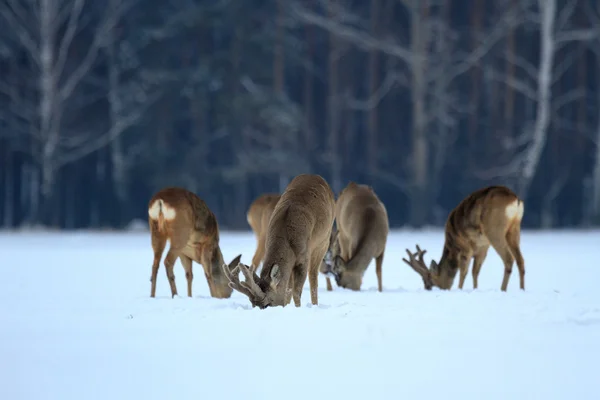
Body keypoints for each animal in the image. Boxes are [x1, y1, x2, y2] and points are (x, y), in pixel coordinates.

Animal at [221, 173, 336, 308]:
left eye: (267, 304)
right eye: (253, 304)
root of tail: (315, 176)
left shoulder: (304, 256)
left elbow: (296, 291)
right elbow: (288, 290)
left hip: (323, 240)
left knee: (313, 275)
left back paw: (315, 304)